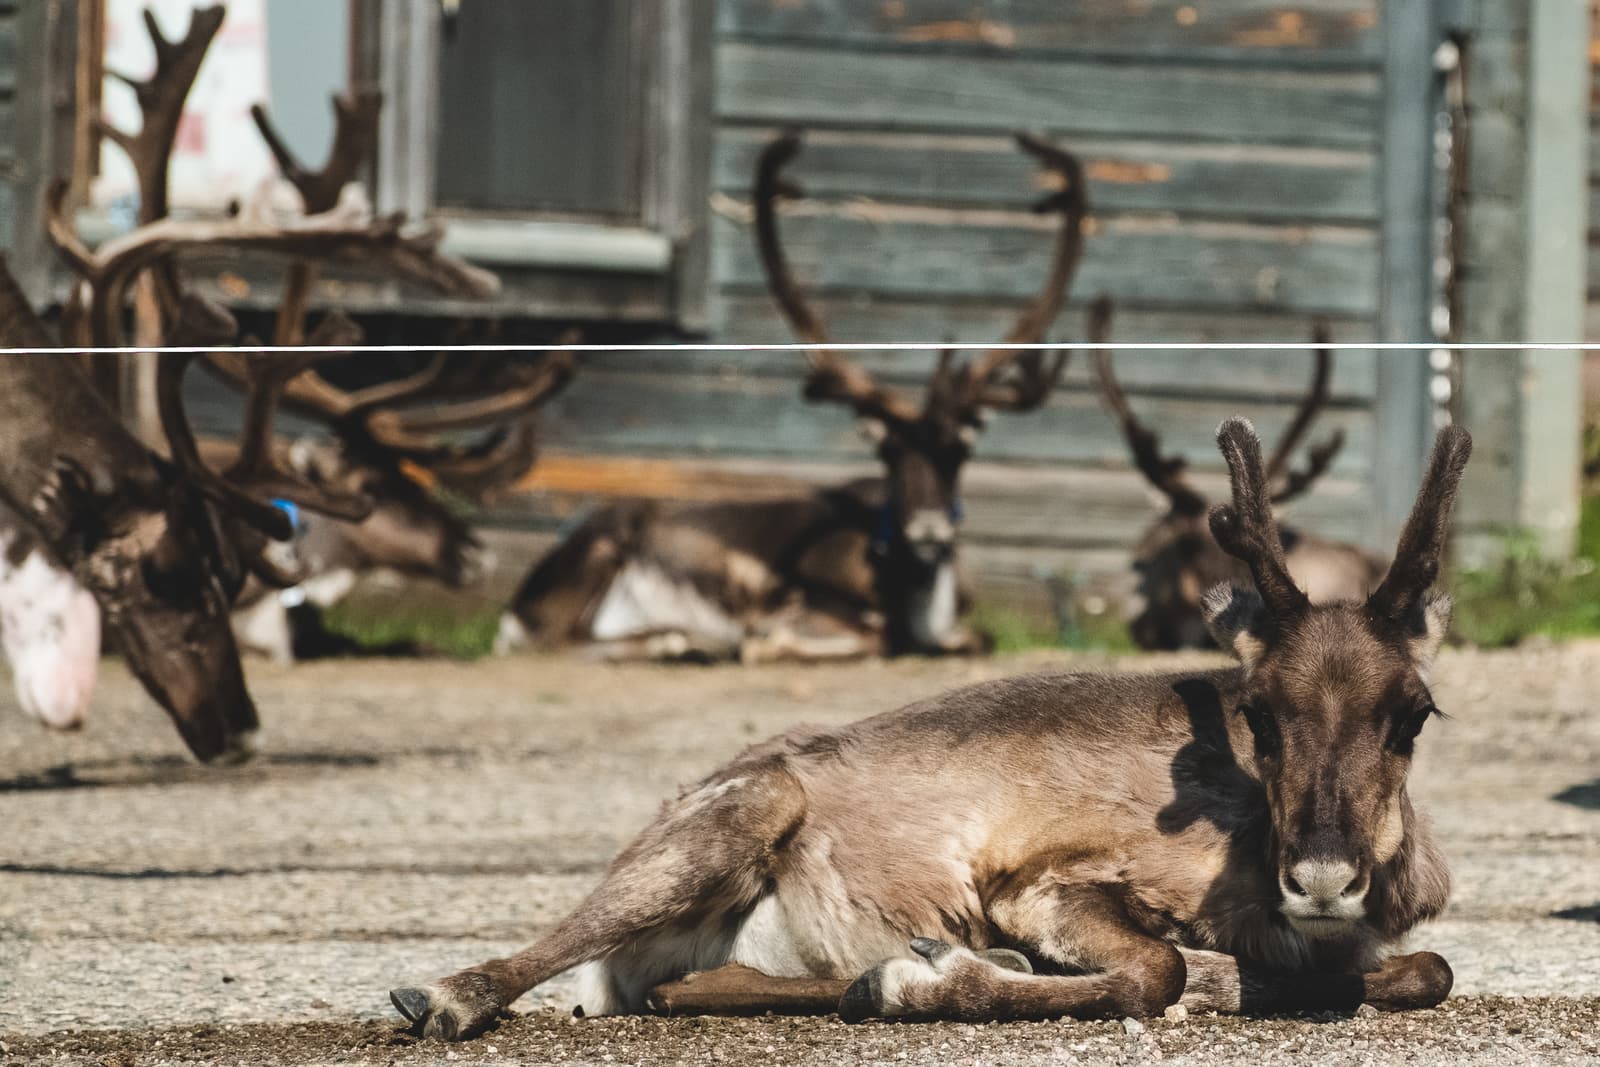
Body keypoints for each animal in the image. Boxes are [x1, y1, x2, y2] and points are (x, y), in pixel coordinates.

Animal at [390, 417, 1469, 1039]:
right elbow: (1159, 968)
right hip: (735, 811)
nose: (1321, 873)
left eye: (1413, 712)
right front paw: (934, 978)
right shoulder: (1039, 880)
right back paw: (441, 994)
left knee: (684, 983)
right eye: (1258, 709)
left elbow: (1425, 966)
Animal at [497, 129, 1087, 661]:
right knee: (559, 639)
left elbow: (975, 638)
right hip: (602, 547)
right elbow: (871, 635)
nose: (928, 526)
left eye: (960, 448)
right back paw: (680, 641)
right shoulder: (796, 598)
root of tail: (517, 605)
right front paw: (768, 643)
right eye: (889, 451)